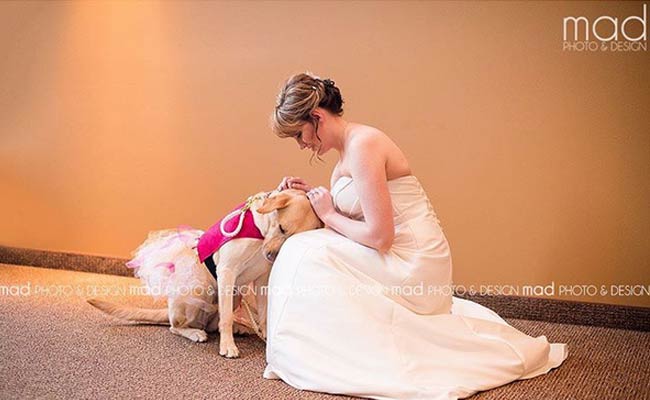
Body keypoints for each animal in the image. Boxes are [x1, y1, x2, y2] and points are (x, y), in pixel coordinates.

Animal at [87, 189, 320, 358]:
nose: (271, 256)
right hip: (198, 290)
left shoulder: (262, 280)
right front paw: (228, 347)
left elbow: (263, 316)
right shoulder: (227, 271)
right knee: (177, 327)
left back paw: (240, 328)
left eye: (289, 237)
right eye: (281, 228)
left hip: (236, 295)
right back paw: (195, 332)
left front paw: (266, 339)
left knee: (213, 323)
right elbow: (225, 319)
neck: (259, 232)